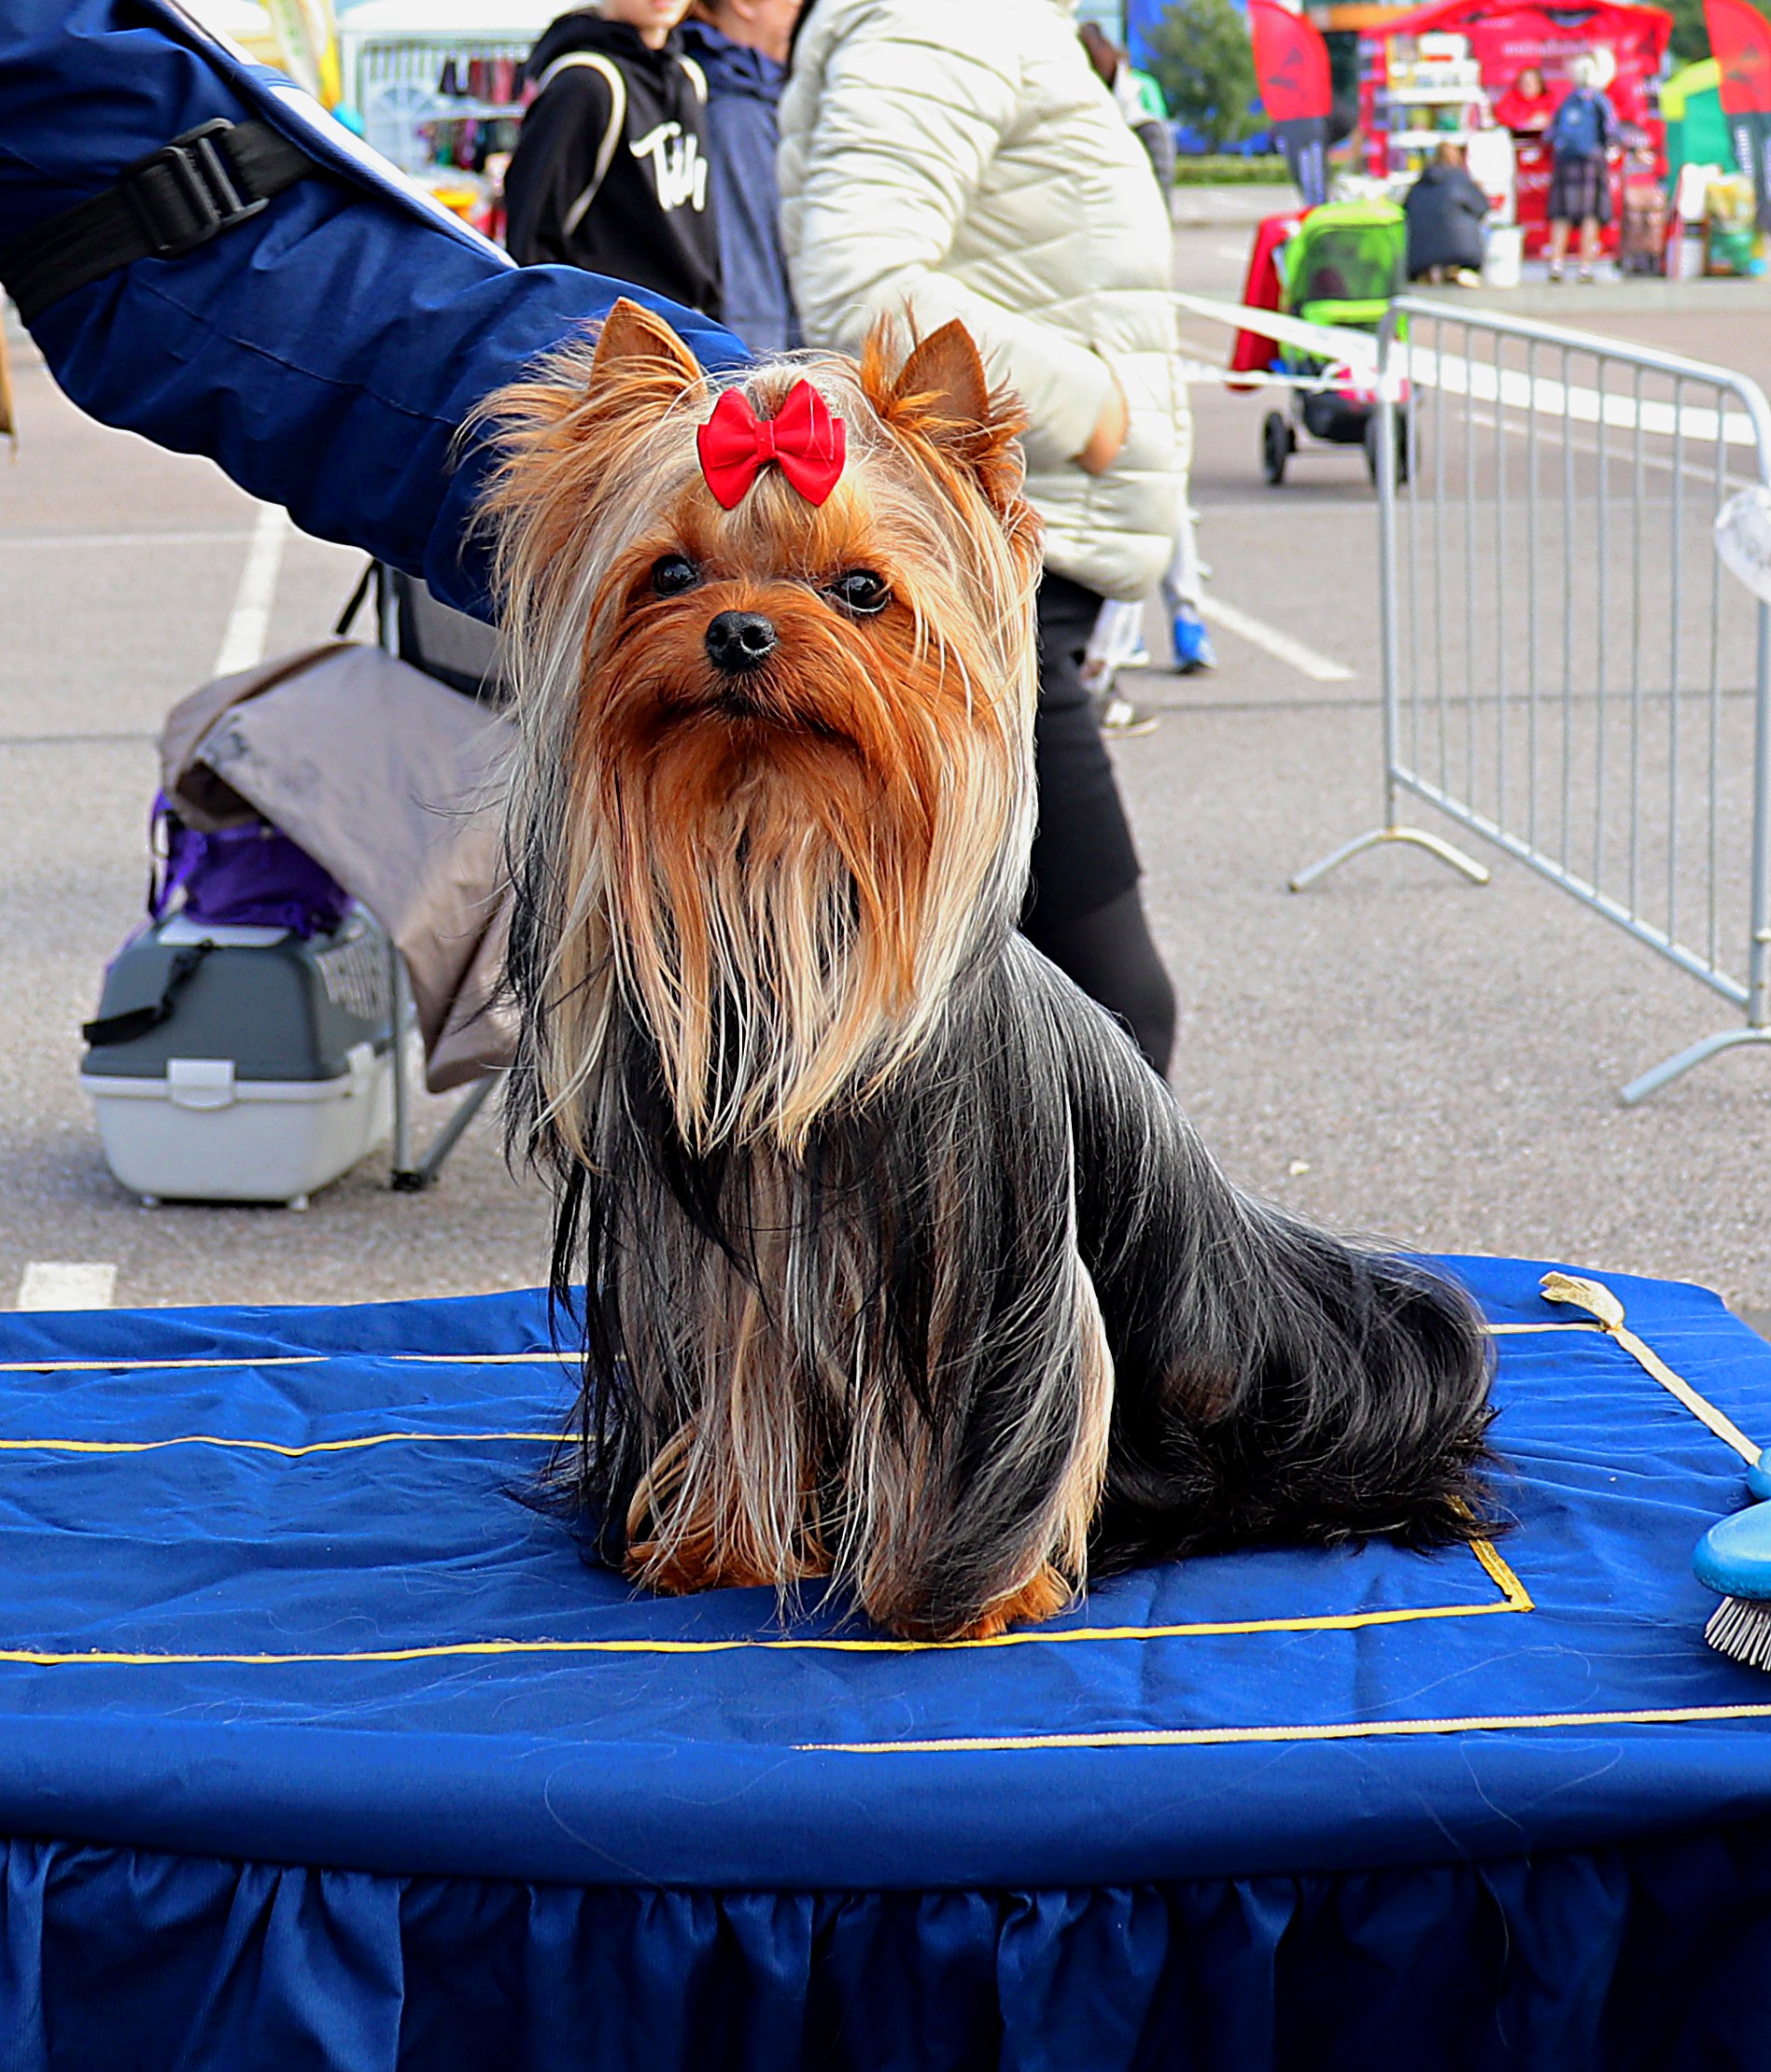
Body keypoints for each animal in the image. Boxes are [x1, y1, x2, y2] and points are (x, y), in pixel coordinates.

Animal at [485, 300, 1499, 1641]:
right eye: (670, 574)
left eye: (862, 589)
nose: (738, 631)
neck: (791, 866)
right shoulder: (708, 1268)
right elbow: (738, 1387)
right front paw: (714, 1548)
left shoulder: (989, 1274)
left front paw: (966, 1595)